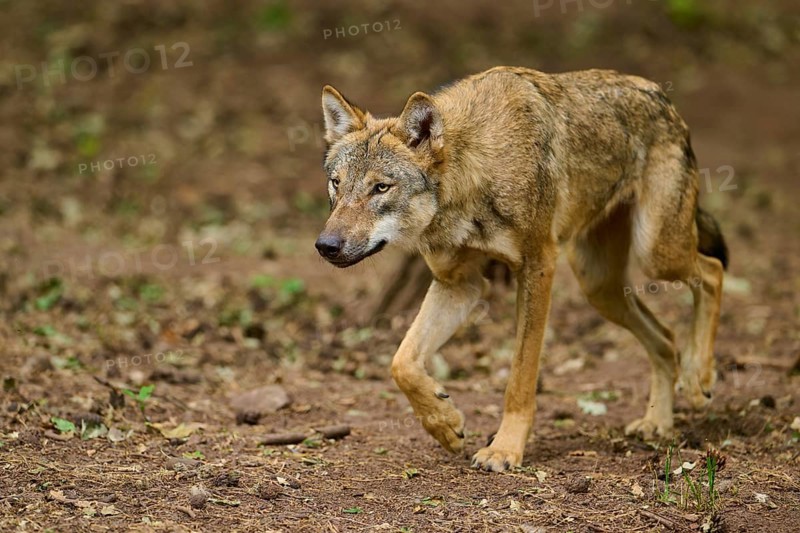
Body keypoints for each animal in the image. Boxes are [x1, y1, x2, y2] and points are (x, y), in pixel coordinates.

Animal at [315, 67, 727, 472]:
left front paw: (504, 449)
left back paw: (699, 379)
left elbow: (520, 376)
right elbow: (401, 362)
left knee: (712, 272)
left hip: (656, 254)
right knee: (666, 337)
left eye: (381, 188)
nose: (326, 246)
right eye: (336, 184)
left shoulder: (538, 267)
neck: (477, 170)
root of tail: (662, 96)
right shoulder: (459, 284)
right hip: (600, 287)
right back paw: (658, 422)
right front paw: (444, 424)